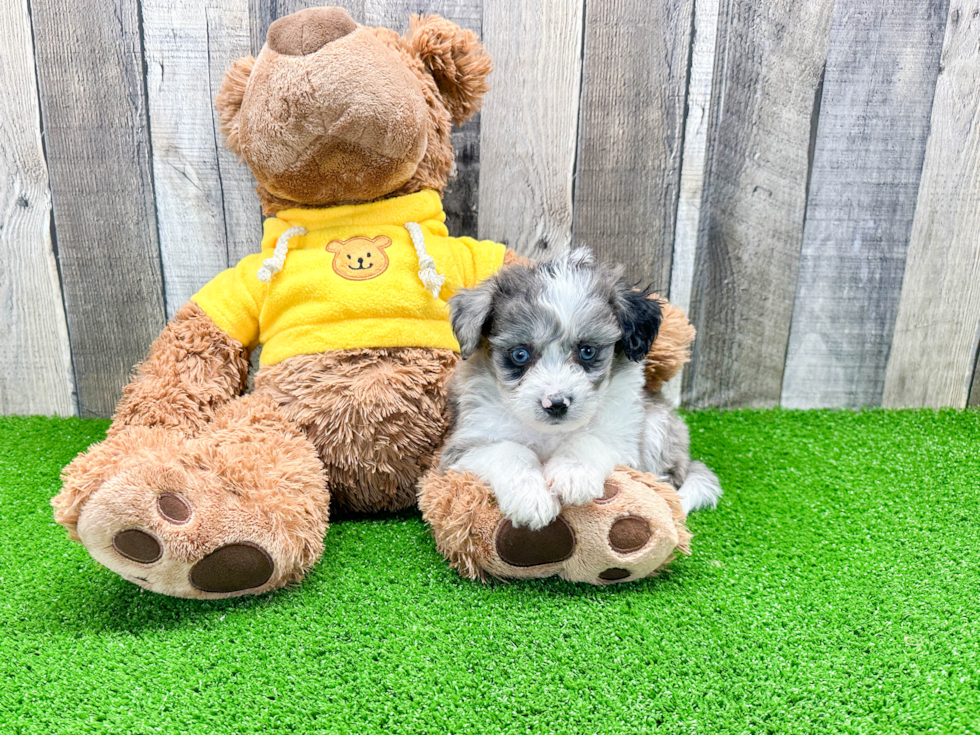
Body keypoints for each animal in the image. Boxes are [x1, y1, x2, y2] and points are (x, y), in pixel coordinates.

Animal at [440, 249, 724, 528]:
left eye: (588, 351)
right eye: (520, 354)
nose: (556, 404)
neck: (549, 434)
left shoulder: (623, 439)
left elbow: (587, 439)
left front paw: (572, 473)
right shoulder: (462, 448)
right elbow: (509, 450)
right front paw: (530, 496)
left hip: (657, 424)